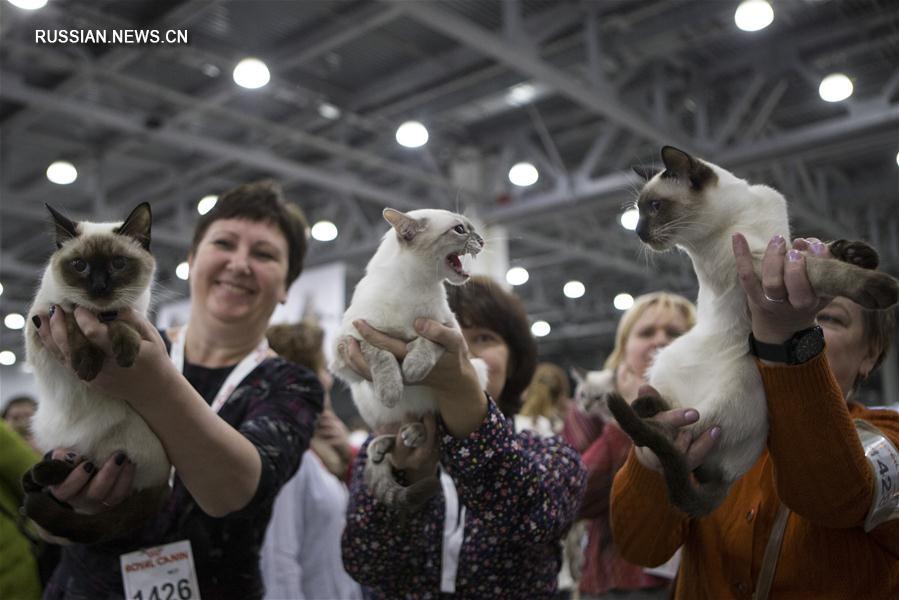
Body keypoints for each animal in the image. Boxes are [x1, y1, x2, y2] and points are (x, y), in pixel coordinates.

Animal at [21, 202, 171, 544]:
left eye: (118, 264)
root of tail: (162, 484)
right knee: (79, 467)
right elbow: (73, 315)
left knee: (90, 470)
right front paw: (86, 364)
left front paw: (125, 352)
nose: (100, 287)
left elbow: (119, 322)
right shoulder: (40, 323)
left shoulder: (134, 316)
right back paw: (36, 476)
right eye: (79, 266)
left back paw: (40, 476)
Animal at [332, 209, 488, 512]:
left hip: (477, 369)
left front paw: (413, 367)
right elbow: (379, 351)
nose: (483, 240)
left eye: (472, 228)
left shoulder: (447, 331)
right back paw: (383, 444)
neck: (414, 287)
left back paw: (415, 433)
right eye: (460, 230)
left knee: (431, 423)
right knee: (391, 428)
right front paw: (392, 387)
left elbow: (427, 342)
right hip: (362, 396)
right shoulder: (347, 344)